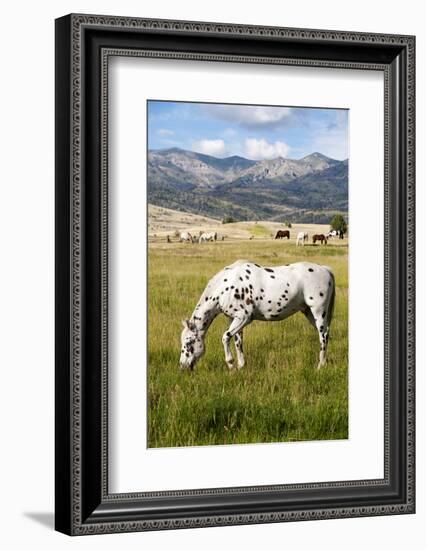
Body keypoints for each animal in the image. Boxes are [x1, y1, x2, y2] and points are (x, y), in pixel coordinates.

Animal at [180, 260, 336, 374]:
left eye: (189, 343)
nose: (182, 366)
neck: (225, 287)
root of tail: (325, 269)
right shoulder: (234, 319)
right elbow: (237, 342)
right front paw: (241, 366)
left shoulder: (244, 318)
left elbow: (225, 337)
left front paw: (231, 364)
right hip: (308, 312)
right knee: (324, 334)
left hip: (318, 311)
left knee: (323, 335)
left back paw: (320, 366)